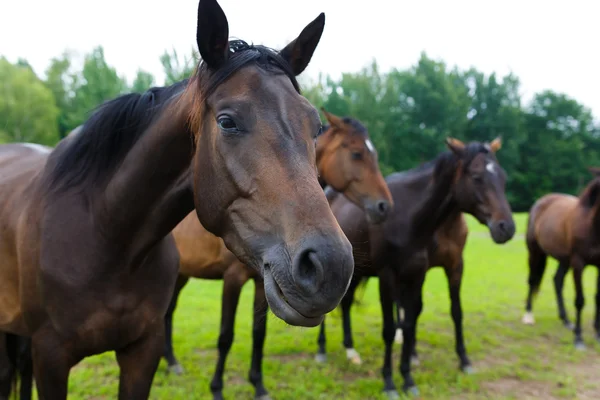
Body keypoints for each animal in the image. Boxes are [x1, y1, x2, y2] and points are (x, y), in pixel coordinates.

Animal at [0, 0, 354, 396]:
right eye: (227, 121)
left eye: (316, 126)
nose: (331, 267)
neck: (105, 235)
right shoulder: (51, 358)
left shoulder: (142, 352)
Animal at [162, 110, 394, 400]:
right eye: (356, 153)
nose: (384, 206)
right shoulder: (232, 280)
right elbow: (225, 336)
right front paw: (217, 388)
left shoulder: (265, 283)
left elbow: (258, 334)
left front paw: (258, 385)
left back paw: (171, 363)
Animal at [314, 138, 516, 396]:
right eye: (477, 176)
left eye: (503, 177)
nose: (506, 227)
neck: (410, 217)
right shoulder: (387, 276)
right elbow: (390, 329)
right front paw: (389, 382)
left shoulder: (423, 273)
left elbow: (414, 322)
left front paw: (409, 377)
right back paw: (322, 350)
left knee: (347, 304)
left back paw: (351, 351)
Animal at [520, 167, 600, 348]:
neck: (591, 223)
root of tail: (541, 201)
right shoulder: (578, 264)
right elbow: (580, 300)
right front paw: (578, 338)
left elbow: (598, 297)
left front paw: (597, 333)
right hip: (535, 252)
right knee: (532, 280)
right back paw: (528, 316)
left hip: (564, 260)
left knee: (557, 281)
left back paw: (566, 320)